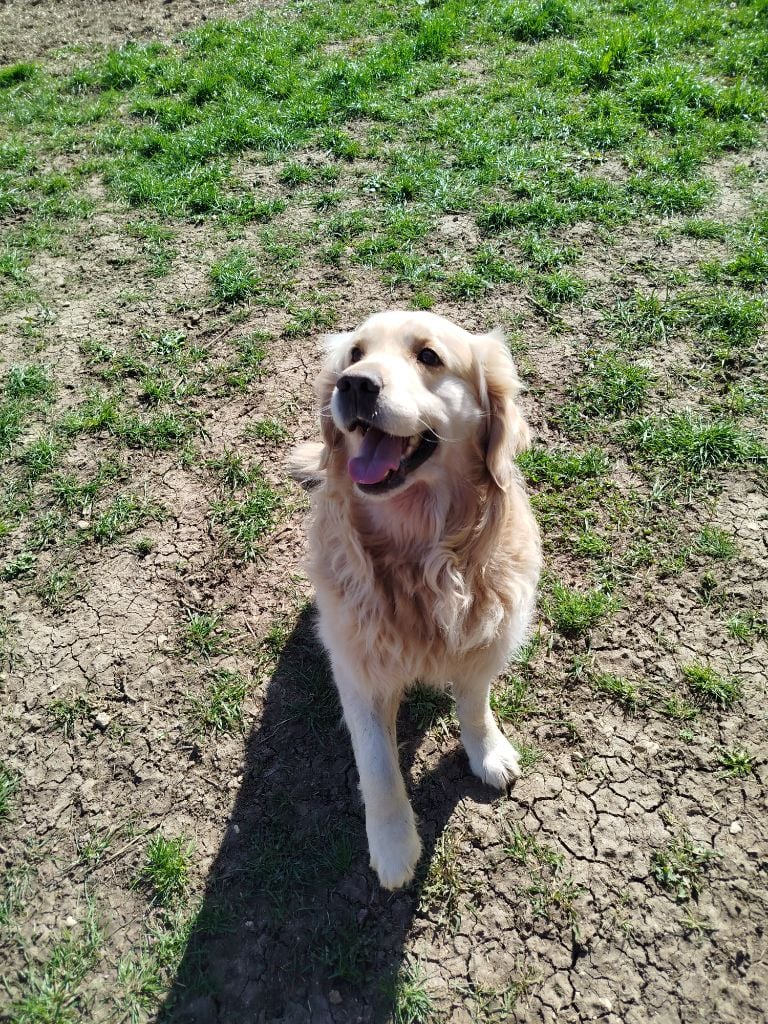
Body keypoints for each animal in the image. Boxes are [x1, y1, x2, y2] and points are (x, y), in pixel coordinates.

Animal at [288, 309, 540, 888]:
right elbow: (378, 766)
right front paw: (394, 844)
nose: (354, 385)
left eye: (428, 356)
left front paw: (488, 753)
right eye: (355, 354)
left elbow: (474, 706)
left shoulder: (482, 642)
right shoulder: (358, 670)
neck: (420, 554)